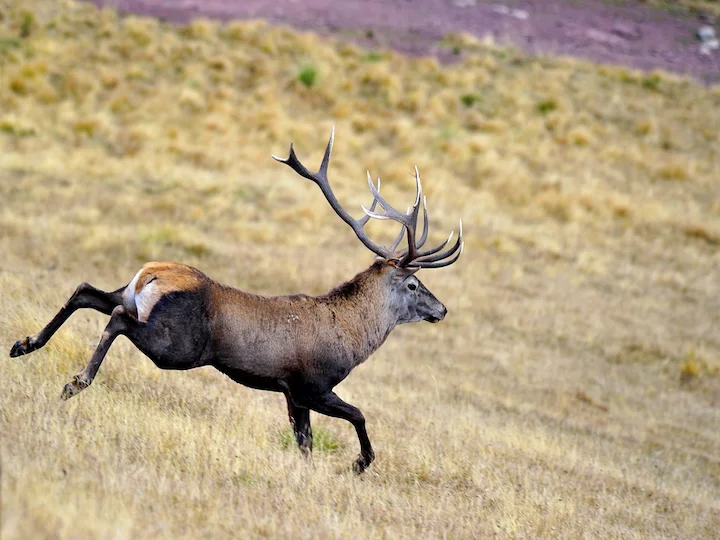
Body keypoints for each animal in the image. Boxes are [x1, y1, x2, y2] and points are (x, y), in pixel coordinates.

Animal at [9, 127, 463, 474]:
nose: (442, 309)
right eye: (414, 285)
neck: (353, 337)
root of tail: (152, 272)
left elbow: (305, 441)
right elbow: (358, 415)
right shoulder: (312, 384)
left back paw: (24, 344)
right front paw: (360, 463)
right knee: (118, 317)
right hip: (178, 345)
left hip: (134, 297)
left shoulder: (290, 392)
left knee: (87, 290)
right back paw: (75, 381)